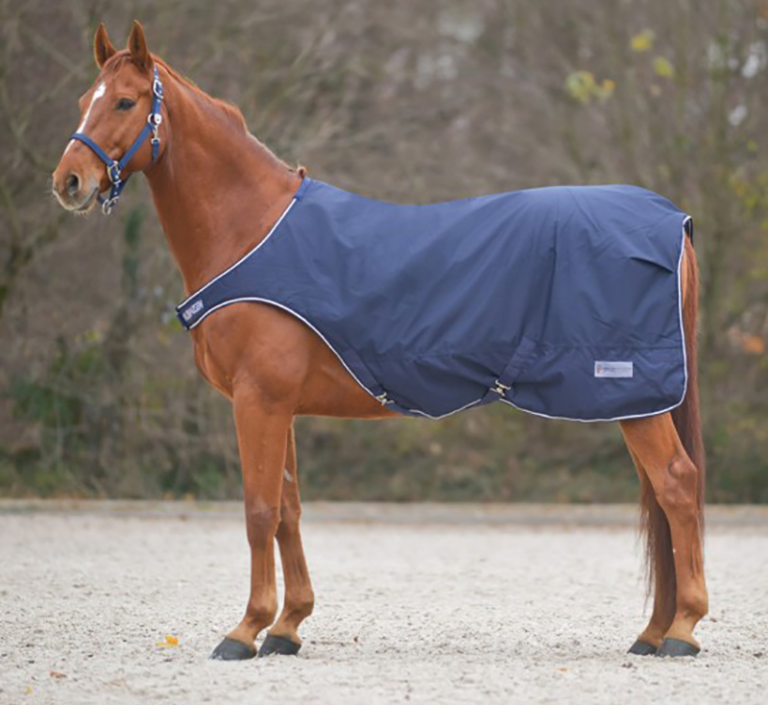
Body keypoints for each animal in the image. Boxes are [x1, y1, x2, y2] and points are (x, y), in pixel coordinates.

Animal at [51, 21, 708, 660]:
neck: (252, 231)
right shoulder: (279, 406)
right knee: (659, 494)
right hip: (635, 400)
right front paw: (287, 627)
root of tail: (671, 221)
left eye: (126, 101)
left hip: (632, 395)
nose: (68, 181)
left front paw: (245, 630)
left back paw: (682, 630)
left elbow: (258, 511)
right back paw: (653, 632)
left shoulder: (258, 401)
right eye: (84, 101)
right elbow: (288, 510)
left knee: (676, 485)